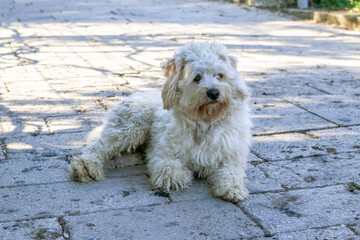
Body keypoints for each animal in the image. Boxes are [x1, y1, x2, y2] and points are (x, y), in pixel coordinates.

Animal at [69, 41, 252, 202]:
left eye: (220, 76)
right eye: (197, 77)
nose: (214, 93)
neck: (204, 123)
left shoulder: (231, 156)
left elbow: (231, 172)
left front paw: (233, 189)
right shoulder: (162, 152)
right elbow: (169, 167)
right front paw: (177, 176)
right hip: (133, 125)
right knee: (98, 146)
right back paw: (86, 167)